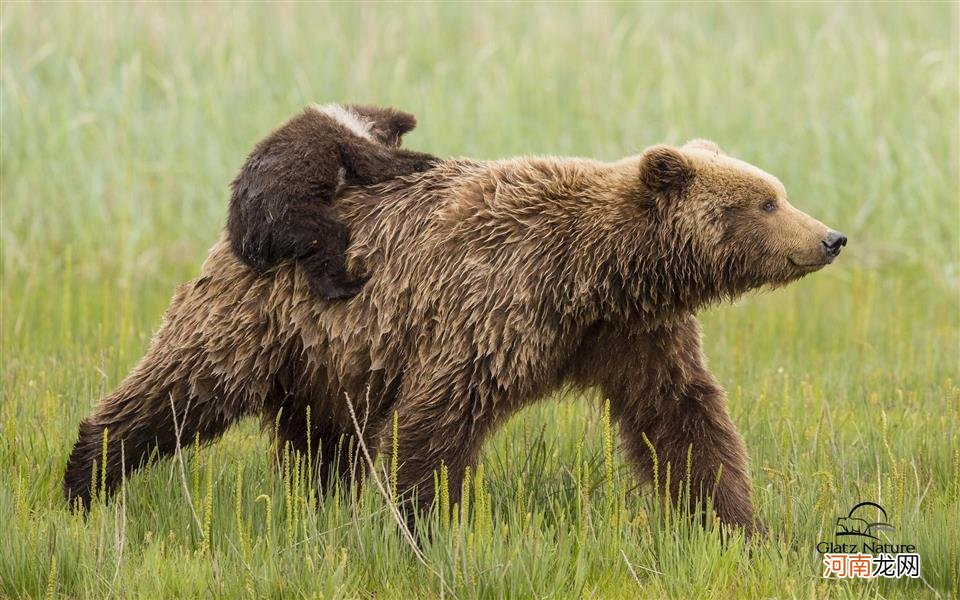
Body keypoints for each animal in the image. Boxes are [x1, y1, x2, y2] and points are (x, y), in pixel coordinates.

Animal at [63, 141, 844, 536]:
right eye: (765, 202)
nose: (830, 237)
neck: (599, 274)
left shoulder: (631, 336)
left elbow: (683, 420)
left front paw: (734, 524)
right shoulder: (497, 305)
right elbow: (439, 420)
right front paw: (422, 526)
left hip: (335, 358)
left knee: (325, 441)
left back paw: (322, 503)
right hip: (261, 317)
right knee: (181, 389)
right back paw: (86, 478)